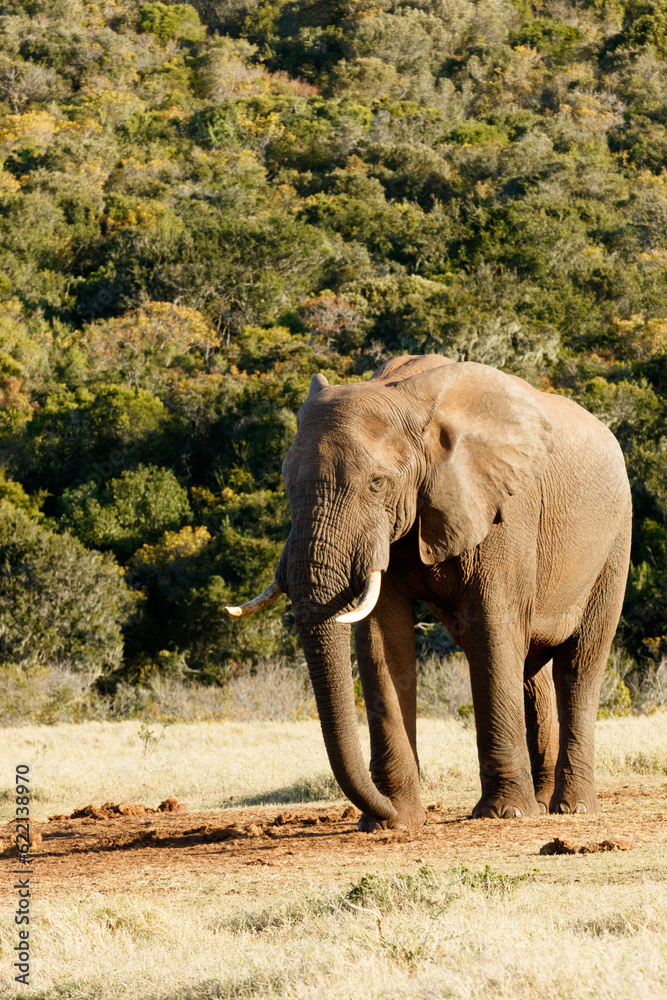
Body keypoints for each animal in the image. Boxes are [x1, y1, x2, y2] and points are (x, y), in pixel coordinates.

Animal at [226, 354, 632, 830]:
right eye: (286, 484)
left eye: (377, 483)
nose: (374, 811)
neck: (408, 400)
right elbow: (383, 640)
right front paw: (395, 821)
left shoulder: (505, 510)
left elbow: (492, 629)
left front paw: (504, 814)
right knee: (532, 672)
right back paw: (544, 800)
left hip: (614, 542)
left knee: (579, 665)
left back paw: (573, 806)